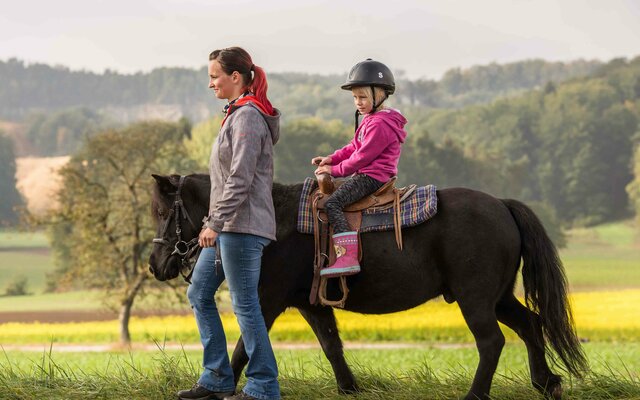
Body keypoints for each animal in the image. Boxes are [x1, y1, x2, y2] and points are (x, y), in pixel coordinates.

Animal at [149, 174, 584, 400]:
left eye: (160, 211)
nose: (155, 264)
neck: (269, 221)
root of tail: (502, 205)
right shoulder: (311, 304)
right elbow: (331, 346)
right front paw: (349, 387)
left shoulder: (264, 299)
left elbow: (243, 345)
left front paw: (214, 389)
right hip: (499, 298)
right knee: (530, 325)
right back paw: (546, 383)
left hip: (476, 299)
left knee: (492, 342)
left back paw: (477, 394)